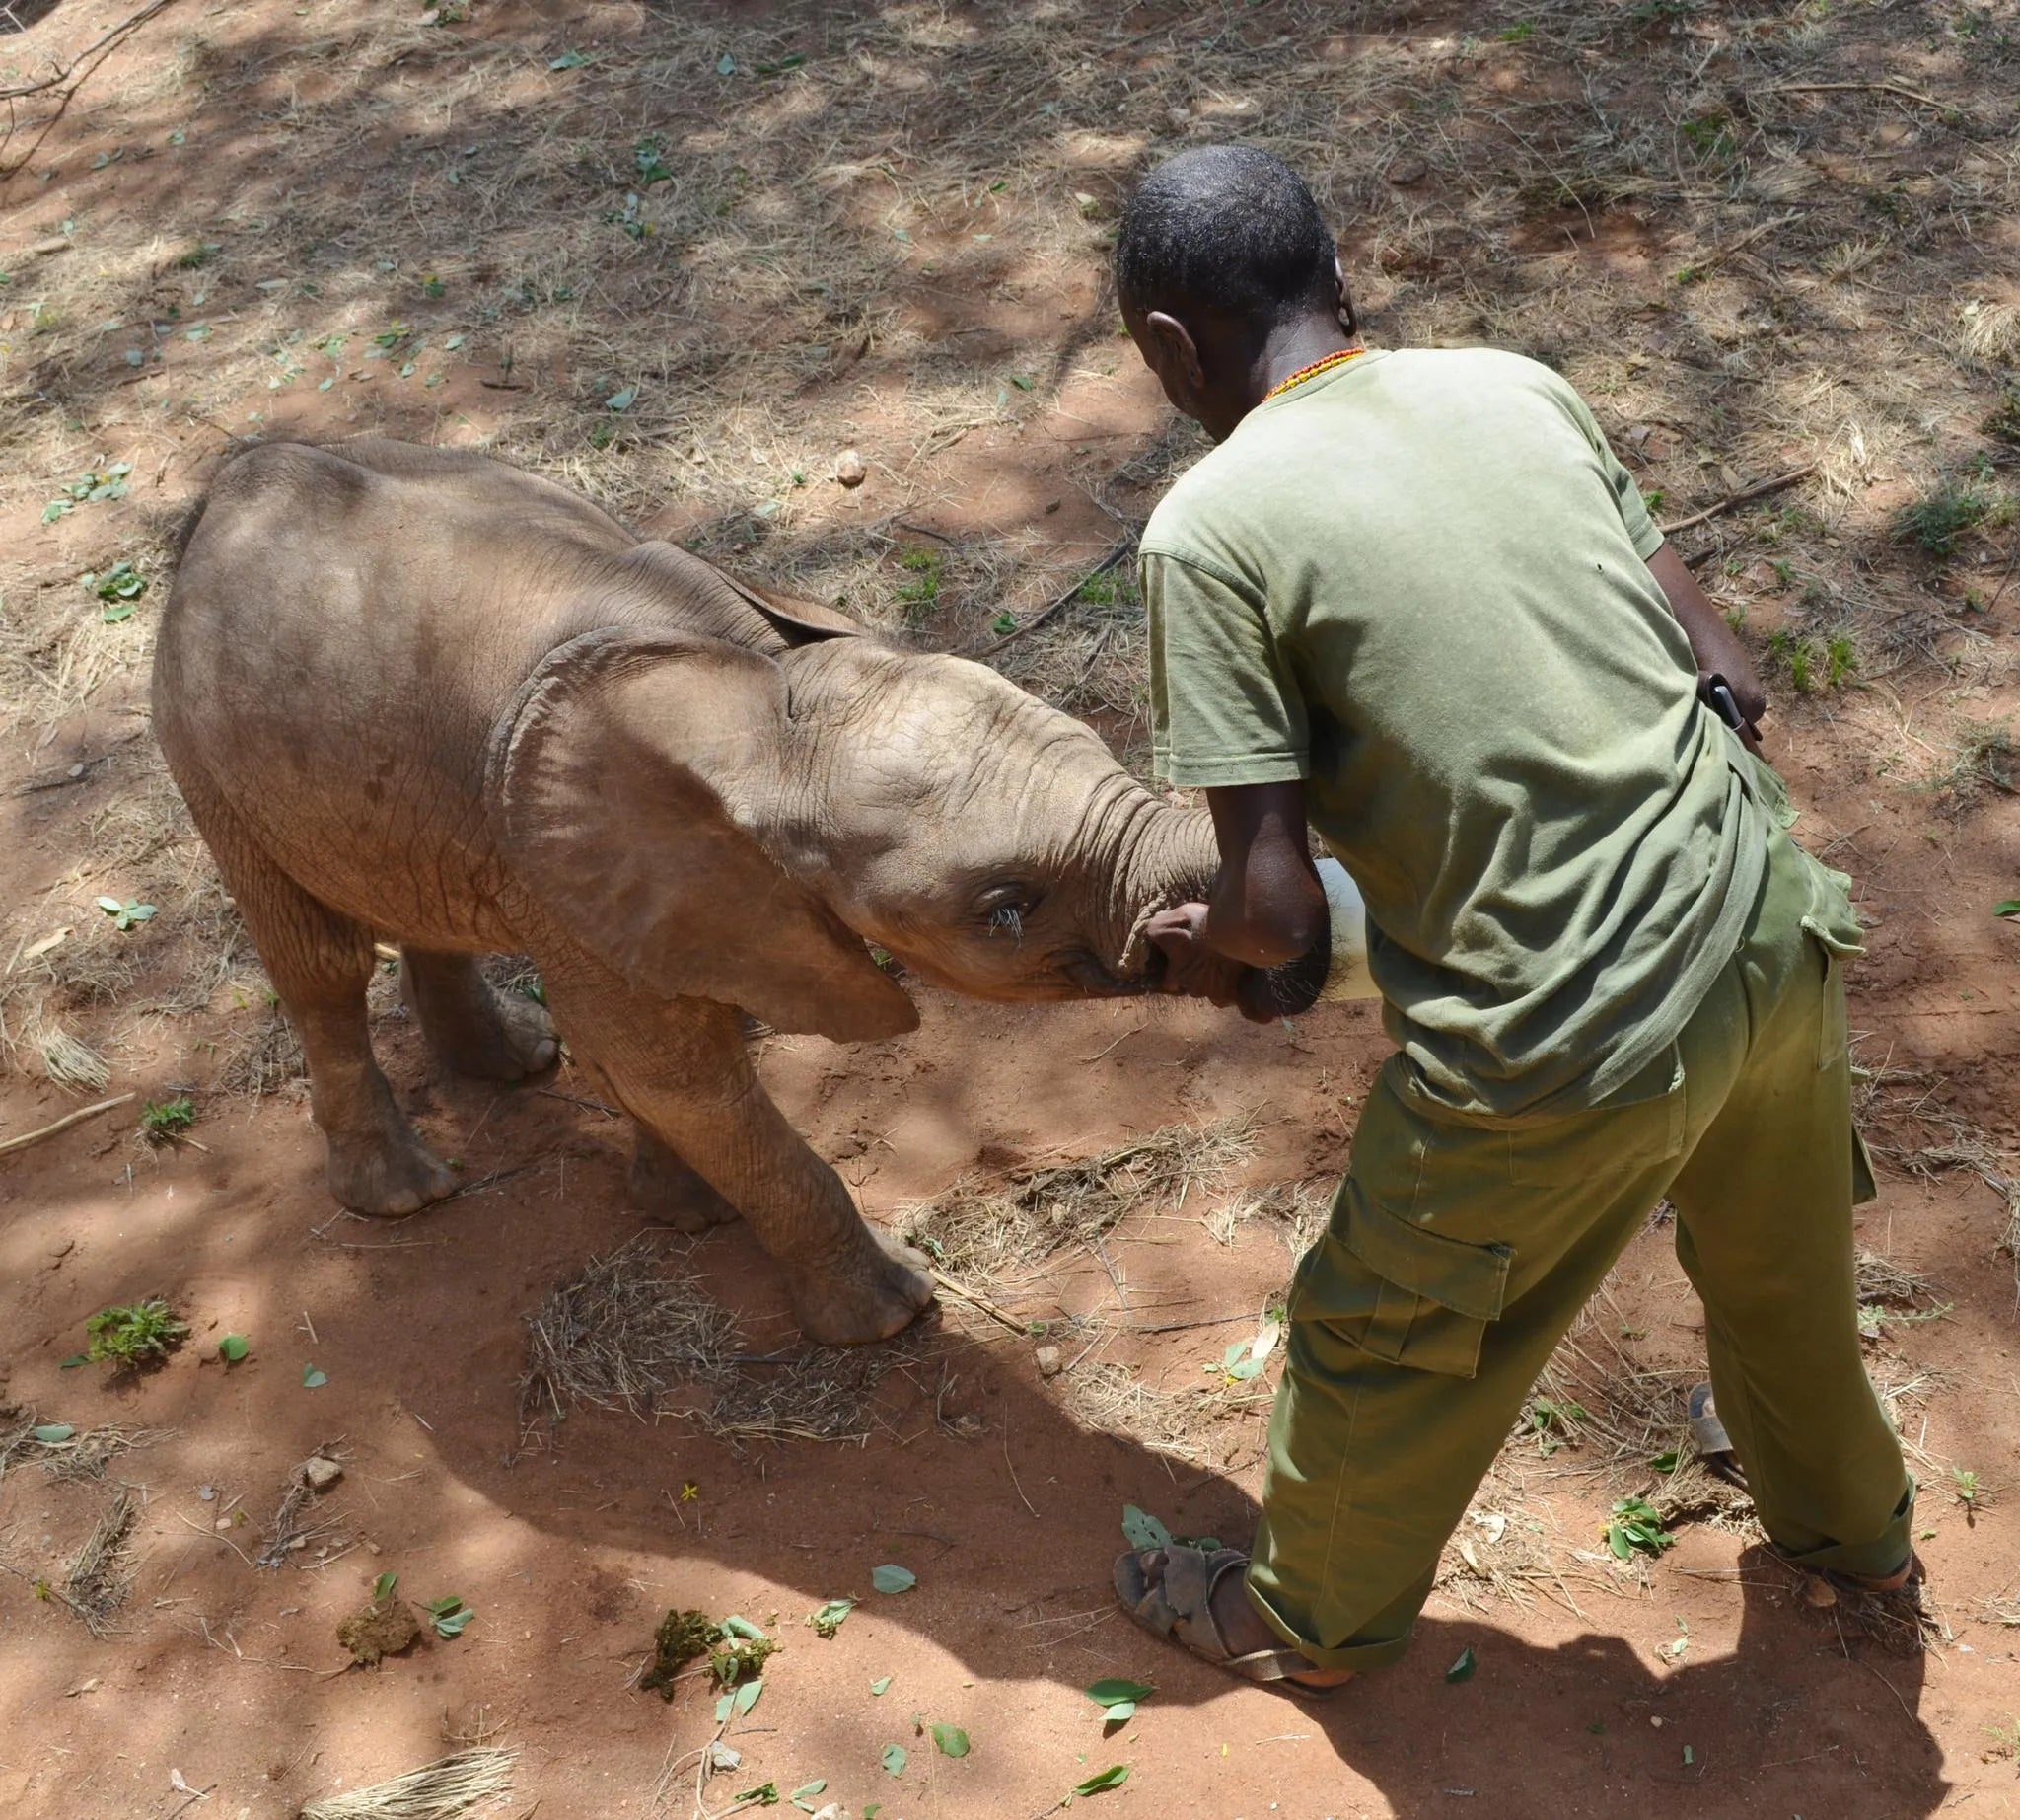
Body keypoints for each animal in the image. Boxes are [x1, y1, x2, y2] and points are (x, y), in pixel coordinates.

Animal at [154, 438, 1306, 1345]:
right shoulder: (569, 868)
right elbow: (674, 1070)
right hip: (204, 751)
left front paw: (687, 1211)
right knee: (319, 963)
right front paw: (893, 1314)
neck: (759, 699)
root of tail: (233, 479)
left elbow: (648, 1059)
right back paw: (407, 1195)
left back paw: (519, 1065)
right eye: (1004, 909)